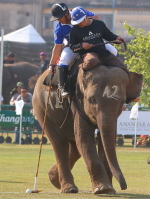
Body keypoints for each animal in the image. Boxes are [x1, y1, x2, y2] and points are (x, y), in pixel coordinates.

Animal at [32, 64, 142, 194]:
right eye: (91, 100)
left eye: (122, 102)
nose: (123, 187)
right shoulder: (78, 102)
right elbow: (84, 137)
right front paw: (102, 189)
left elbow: (104, 138)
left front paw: (109, 190)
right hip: (42, 110)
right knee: (59, 143)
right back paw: (69, 189)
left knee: (74, 147)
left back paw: (54, 180)